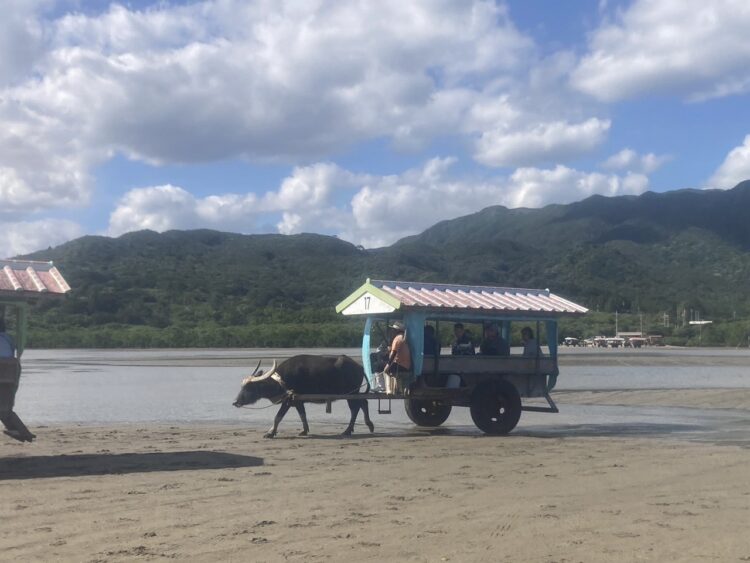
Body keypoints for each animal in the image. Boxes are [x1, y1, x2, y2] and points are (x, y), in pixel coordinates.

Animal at [234, 354, 374, 438]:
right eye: (242, 386)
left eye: (249, 387)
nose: (236, 402)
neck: (282, 382)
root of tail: (360, 367)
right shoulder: (298, 401)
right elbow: (302, 415)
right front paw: (304, 430)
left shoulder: (288, 401)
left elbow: (278, 417)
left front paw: (270, 433)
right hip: (354, 393)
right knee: (364, 402)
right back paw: (369, 425)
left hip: (351, 394)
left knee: (355, 408)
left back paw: (348, 430)